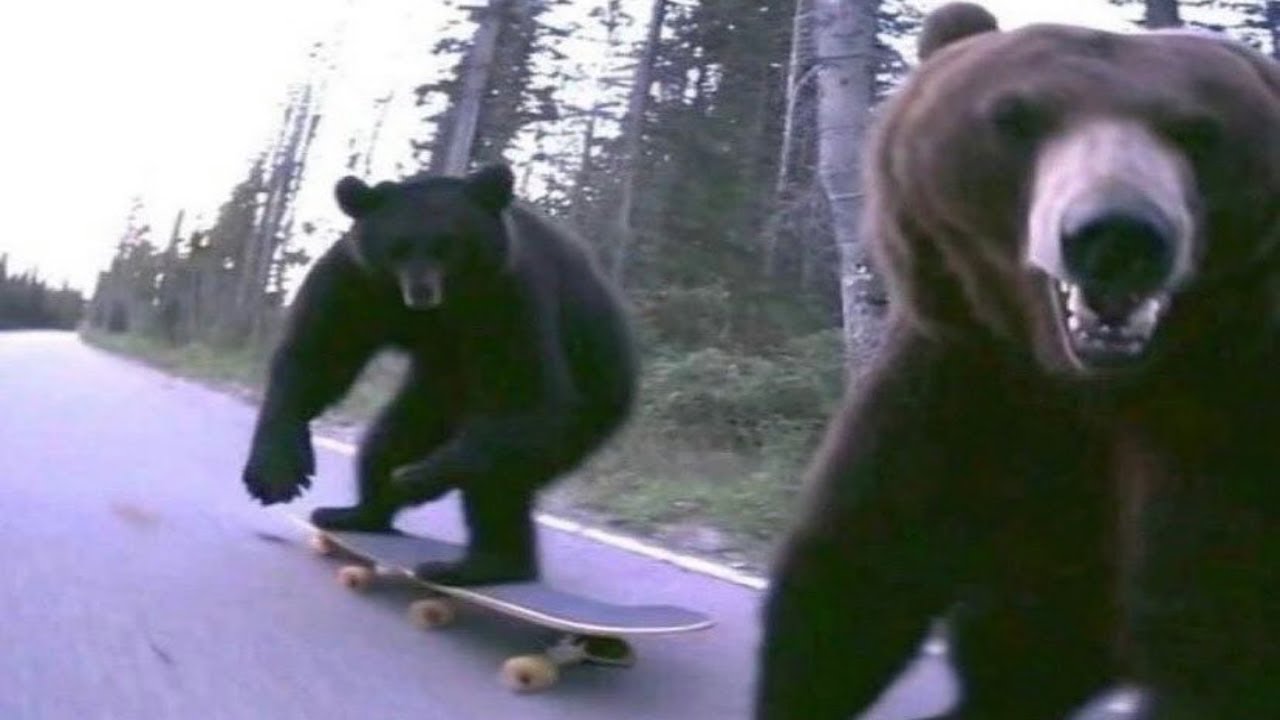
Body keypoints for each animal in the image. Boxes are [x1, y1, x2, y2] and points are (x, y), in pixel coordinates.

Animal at [241, 164, 637, 587]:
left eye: (448, 245)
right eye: (398, 247)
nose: (421, 292)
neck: (443, 310)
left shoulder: (511, 295)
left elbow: (528, 395)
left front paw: (421, 478)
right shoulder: (358, 281)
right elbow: (318, 356)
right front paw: (275, 471)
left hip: (592, 402)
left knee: (501, 474)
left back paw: (484, 563)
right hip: (436, 393)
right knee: (391, 438)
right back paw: (358, 513)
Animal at [755, 4, 1279, 719]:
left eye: (1199, 130)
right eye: (1014, 117)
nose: (1118, 234)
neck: (1082, 383)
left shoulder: (1222, 424)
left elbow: (1217, 632)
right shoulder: (964, 379)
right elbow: (862, 566)